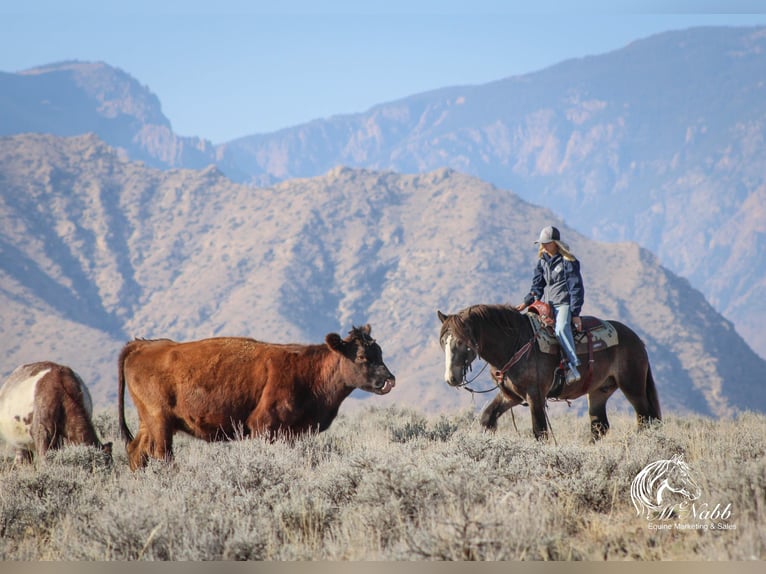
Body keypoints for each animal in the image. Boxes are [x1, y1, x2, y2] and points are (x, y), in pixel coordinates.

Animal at [117, 326, 400, 470]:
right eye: (362, 356)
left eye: (380, 352)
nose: (389, 380)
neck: (309, 371)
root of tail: (142, 344)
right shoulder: (266, 427)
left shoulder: (292, 433)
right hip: (160, 422)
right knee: (161, 454)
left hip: (147, 422)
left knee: (136, 451)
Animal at [440, 306, 664, 440]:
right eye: (444, 342)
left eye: (462, 342)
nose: (451, 378)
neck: (514, 345)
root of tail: (637, 340)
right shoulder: (511, 395)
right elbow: (488, 417)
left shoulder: (535, 395)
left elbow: (539, 431)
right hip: (600, 391)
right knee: (600, 426)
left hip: (633, 387)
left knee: (646, 419)